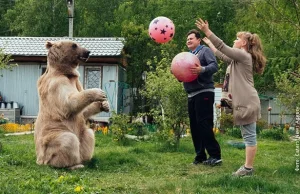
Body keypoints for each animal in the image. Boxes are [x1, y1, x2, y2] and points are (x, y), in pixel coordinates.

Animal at [34, 40, 109, 170]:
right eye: (74, 45)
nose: (88, 52)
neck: (66, 73)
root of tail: (39, 159)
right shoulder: (56, 84)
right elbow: (68, 103)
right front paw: (98, 92)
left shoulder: (77, 82)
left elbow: (83, 111)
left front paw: (104, 104)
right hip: (51, 136)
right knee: (68, 140)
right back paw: (73, 165)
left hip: (80, 132)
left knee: (89, 134)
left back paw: (85, 159)